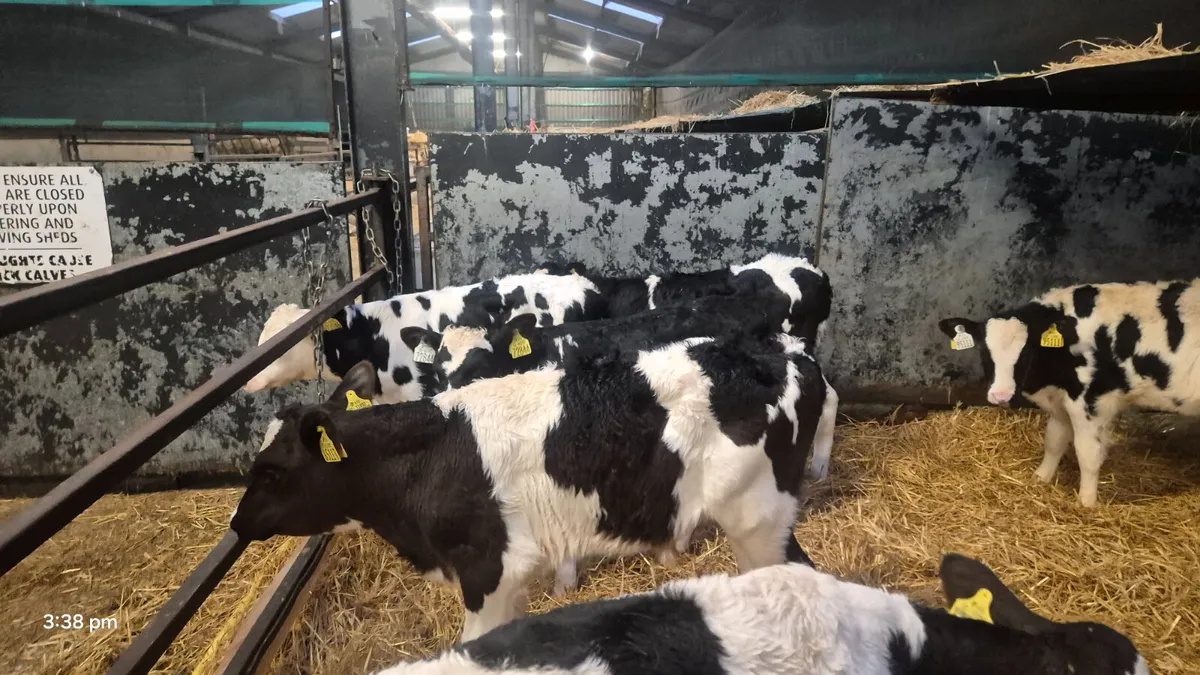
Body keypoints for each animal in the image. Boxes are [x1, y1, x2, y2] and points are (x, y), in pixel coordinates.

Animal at [940, 278, 1199, 506]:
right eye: (984, 352)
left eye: (1026, 351)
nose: (1001, 395)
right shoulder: (1061, 400)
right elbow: (1054, 440)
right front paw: (1041, 477)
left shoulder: (1088, 400)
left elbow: (1088, 454)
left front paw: (1086, 502)